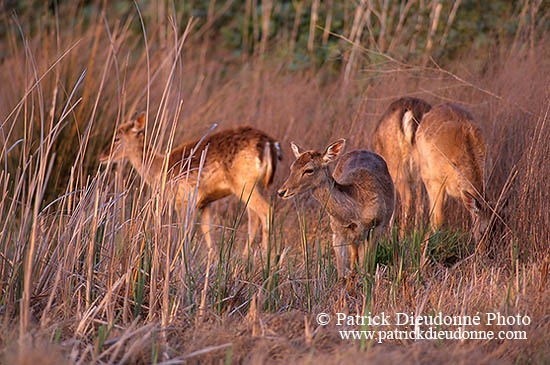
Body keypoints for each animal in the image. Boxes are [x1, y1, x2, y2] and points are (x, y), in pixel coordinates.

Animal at [99, 114, 282, 256]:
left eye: (117, 138)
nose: (102, 156)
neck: (160, 169)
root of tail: (269, 144)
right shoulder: (205, 202)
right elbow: (207, 230)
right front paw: (212, 258)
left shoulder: (183, 199)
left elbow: (185, 231)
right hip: (255, 185)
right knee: (254, 217)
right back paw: (246, 257)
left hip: (243, 182)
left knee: (265, 211)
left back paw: (265, 257)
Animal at [280, 138, 396, 278]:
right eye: (292, 167)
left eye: (309, 170)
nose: (282, 191)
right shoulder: (337, 231)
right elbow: (341, 274)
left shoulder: (377, 225)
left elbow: (366, 269)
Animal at [374, 95, 434, 229]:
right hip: (423, 164)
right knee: (421, 201)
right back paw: (418, 231)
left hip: (397, 164)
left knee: (408, 198)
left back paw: (401, 233)